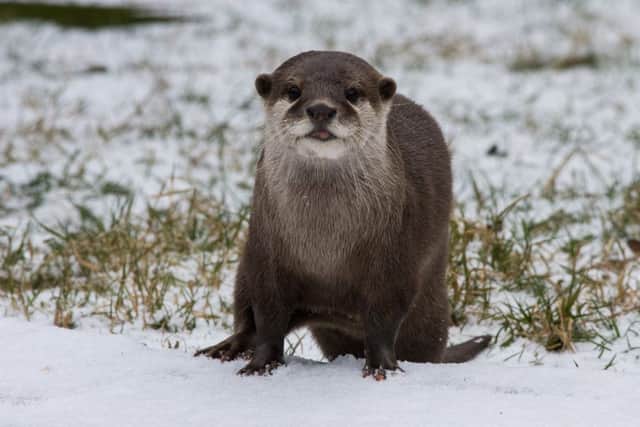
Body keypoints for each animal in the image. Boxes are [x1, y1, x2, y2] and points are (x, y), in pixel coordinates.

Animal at [195, 51, 490, 379]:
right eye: (293, 90)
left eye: (352, 92)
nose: (321, 109)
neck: (325, 246)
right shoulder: (266, 255)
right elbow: (268, 317)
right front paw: (262, 364)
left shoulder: (393, 259)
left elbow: (383, 318)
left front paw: (382, 365)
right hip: (244, 267)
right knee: (247, 314)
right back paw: (228, 346)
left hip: (431, 308)